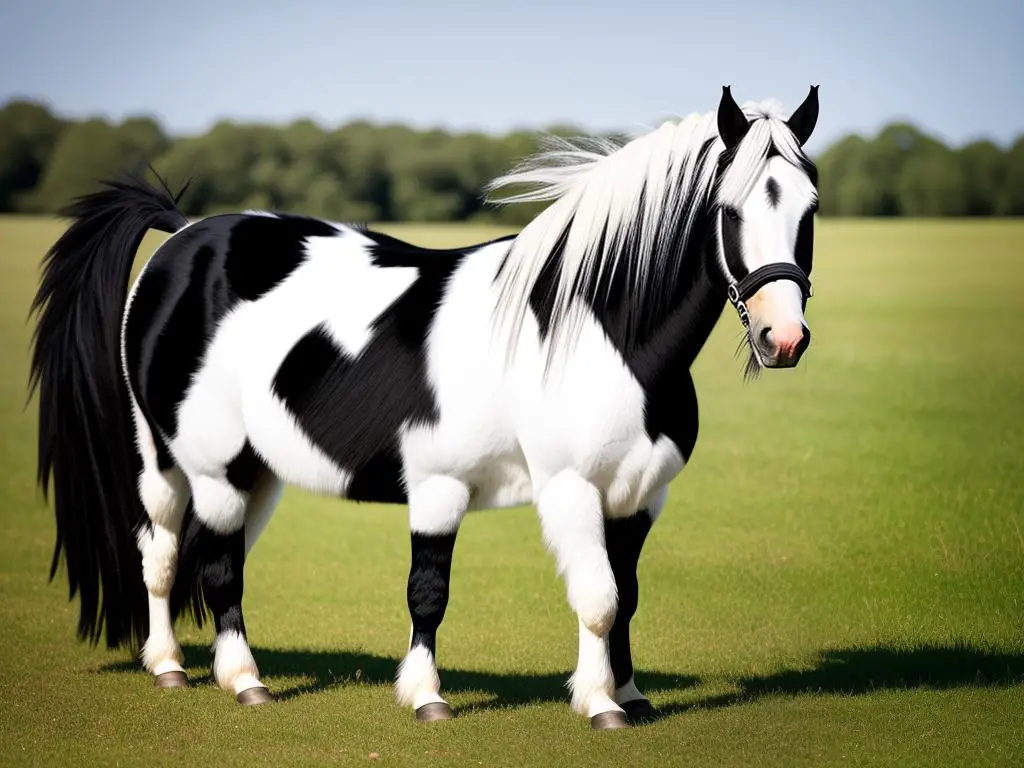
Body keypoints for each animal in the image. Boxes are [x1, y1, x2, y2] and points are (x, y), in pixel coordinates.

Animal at [28, 85, 819, 733]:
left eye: (809, 209)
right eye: (729, 209)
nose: (783, 338)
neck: (591, 331)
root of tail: (185, 233)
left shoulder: (639, 496)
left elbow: (622, 596)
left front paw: (627, 692)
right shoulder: (515, 487)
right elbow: (469, 594)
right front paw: (565, 703)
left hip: (256, 474)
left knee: (209, 561)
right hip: (184, 464)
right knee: (173, 559)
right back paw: (210, 674)